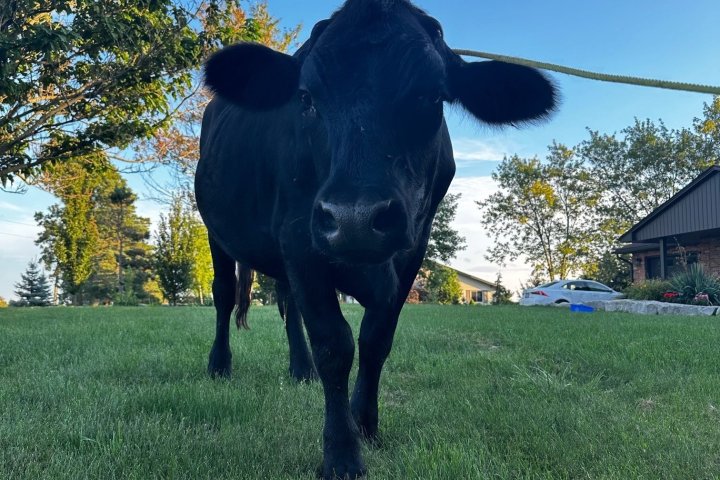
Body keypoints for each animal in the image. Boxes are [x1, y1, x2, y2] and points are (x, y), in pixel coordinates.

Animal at [193, 0, 556, 478]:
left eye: (431, 96)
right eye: (306, 98)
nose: (355, 219)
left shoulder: (412, 250)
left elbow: (375, 340)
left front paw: (365, 425)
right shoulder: (300, 237)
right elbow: (334, 344)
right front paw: (342, 453)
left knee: (288, 304)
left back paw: (300, 369)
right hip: (215, 228)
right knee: (222, 294)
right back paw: (219, 366)